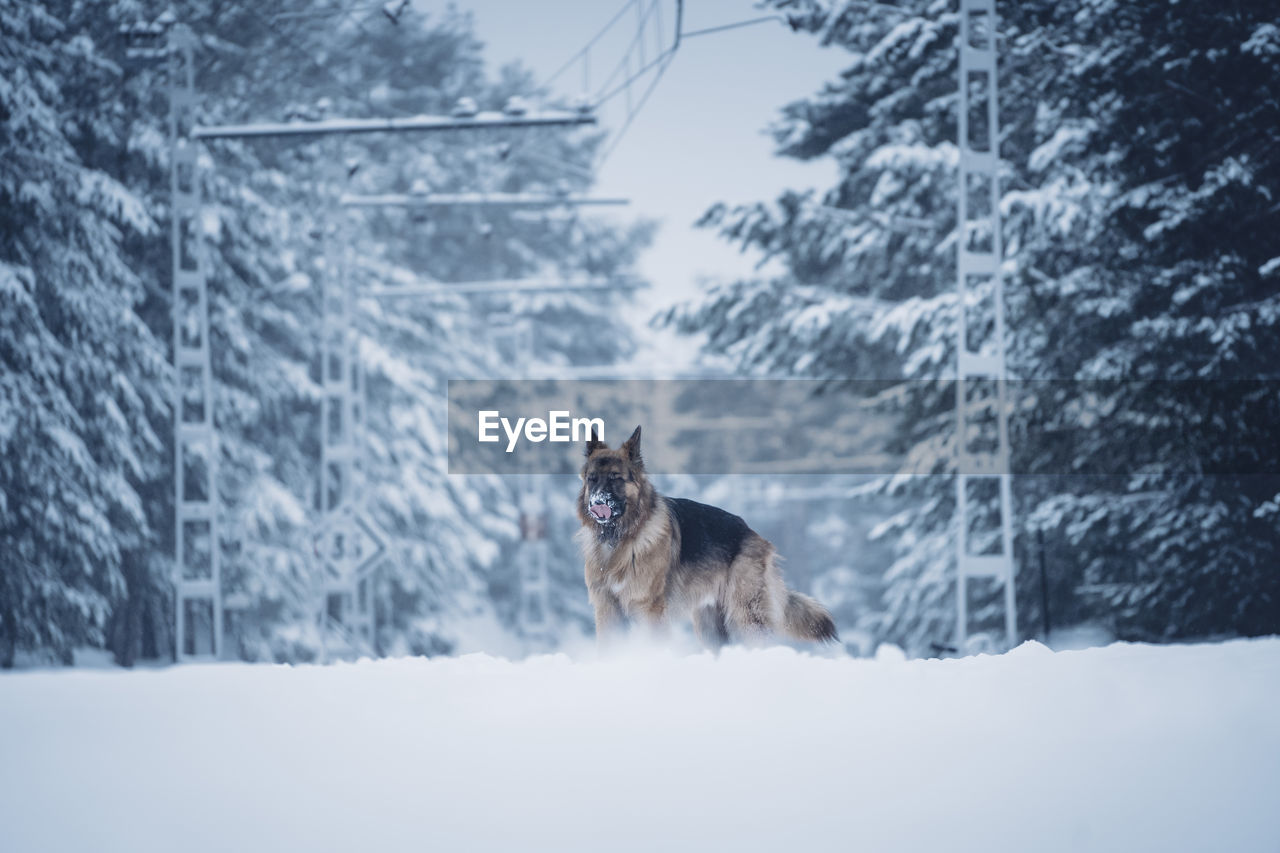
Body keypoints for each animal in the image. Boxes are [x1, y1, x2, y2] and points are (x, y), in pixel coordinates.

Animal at [573, 425, 834, 645]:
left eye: (615, 478)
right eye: (592, 479)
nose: (597, 503)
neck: (618, 540)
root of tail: (754, 534)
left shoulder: (649, 607)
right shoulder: (607, 608)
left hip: (746, 615)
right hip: (709, 625)